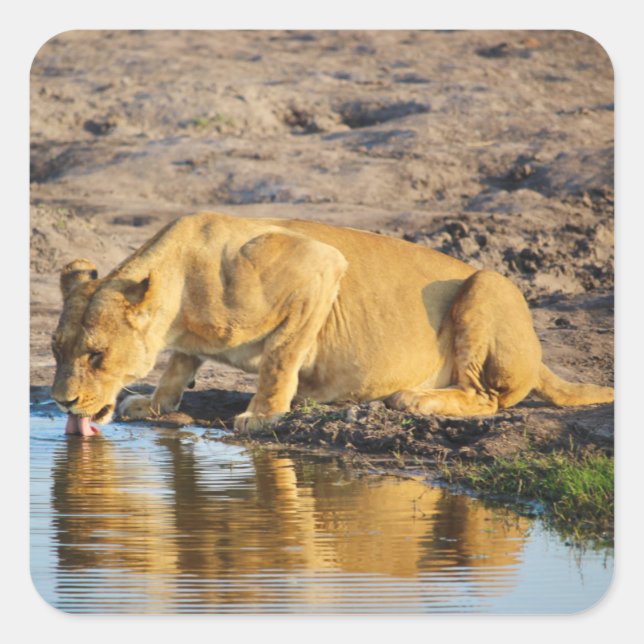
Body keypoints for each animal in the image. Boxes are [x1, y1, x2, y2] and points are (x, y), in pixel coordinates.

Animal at [51, 212, 613, 434]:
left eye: (96, 355)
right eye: (57, 351)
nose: (61, 402)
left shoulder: (319, 266)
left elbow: (281, 358)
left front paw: (265, 415)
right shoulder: (186, 340)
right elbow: (177, 364)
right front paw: (154, 402)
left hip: (488, 283)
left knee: (485, 398)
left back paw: (415, 398)